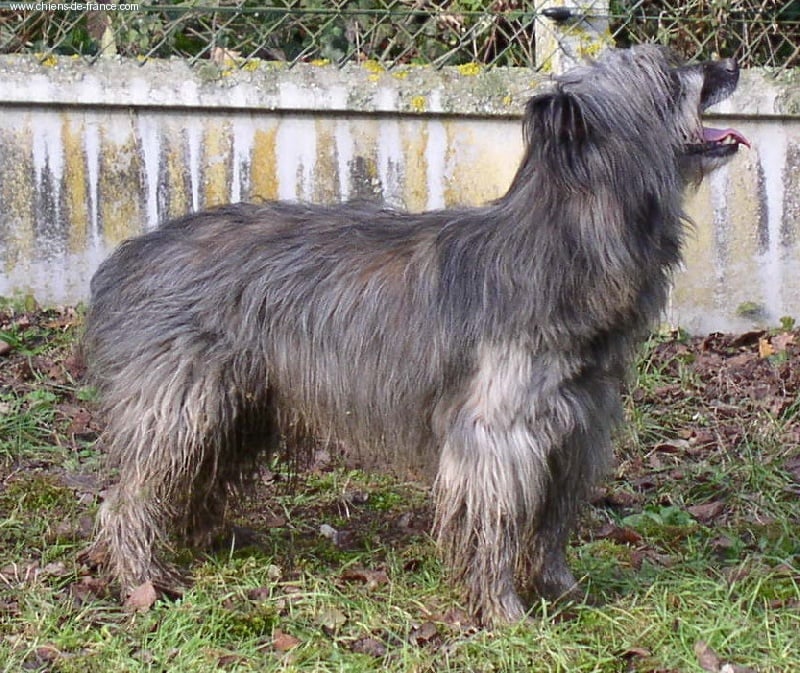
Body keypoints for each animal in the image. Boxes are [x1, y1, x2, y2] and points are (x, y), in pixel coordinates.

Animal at [84, 44, 748, 624]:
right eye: (664, 75)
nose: (730, 66)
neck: (569, 243)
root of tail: (134, 254)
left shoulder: (576, 429)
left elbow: (552, 521)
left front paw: (560, 589)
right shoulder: (499, 437)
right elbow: (498, 526)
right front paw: (504, 612)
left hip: (238, 405)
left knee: (197, 473)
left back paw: (202, 541)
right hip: (183, 404)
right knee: (127, 498)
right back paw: (145, 577)